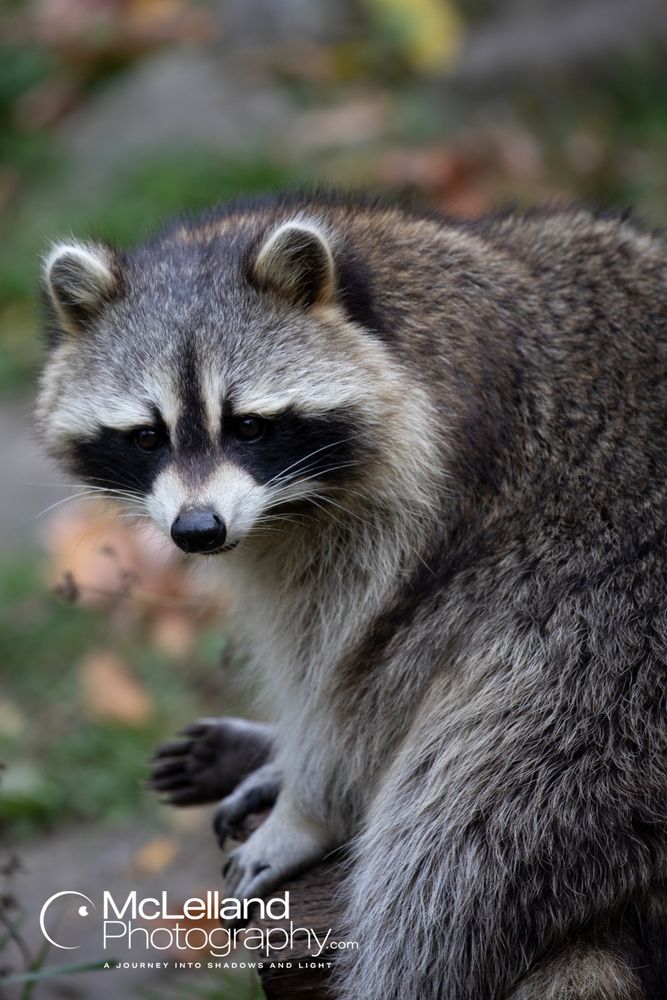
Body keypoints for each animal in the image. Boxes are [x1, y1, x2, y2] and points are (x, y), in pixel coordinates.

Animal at [37, 194, 667, 999]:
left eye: (248, 425)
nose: (198, 531)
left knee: (448, 862)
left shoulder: (441, 523)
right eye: (146, 436)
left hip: (602, 660)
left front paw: (306, 808)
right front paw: (282, 754)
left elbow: (359, 681)